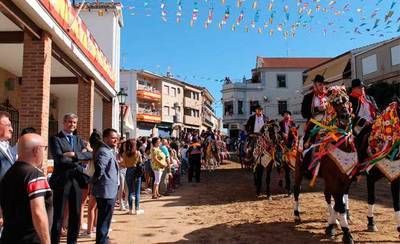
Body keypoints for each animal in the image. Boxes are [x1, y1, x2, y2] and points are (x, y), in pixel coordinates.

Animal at [292, 85, 358, 242]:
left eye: (346, 100)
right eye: (334, 102)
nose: (345, 116)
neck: (342, 146)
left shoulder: (345, 180)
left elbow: (340, 203)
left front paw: (335, 225)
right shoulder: (333, 179)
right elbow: (339, 204)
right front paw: (346, 233)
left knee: (328, 196)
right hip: (299, 170)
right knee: (296, 189)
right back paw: (297, 215)